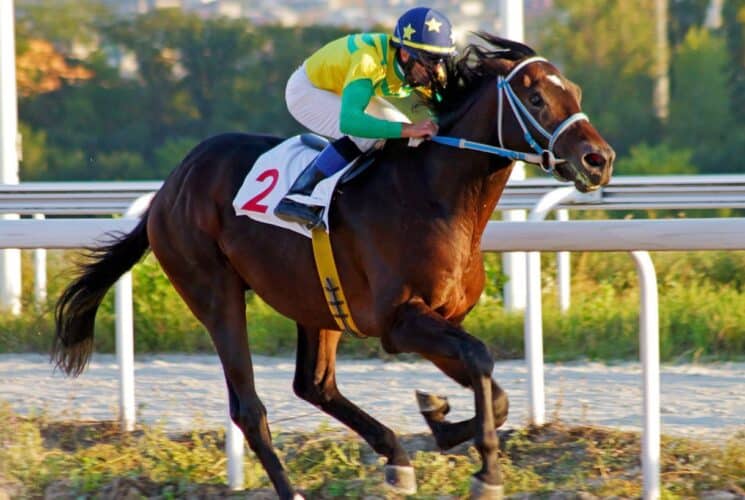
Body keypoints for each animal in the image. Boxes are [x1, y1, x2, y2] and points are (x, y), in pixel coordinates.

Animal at [50, 33, 612, 498]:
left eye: (577, 91)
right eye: (536, 98)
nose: (598, 160)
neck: (434, 195)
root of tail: (168, 189)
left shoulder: (442, 318)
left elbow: (494, 393)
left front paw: (439, 418)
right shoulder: (399, 322)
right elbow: (480, 360)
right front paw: (485, 470)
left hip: (317, 303)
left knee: (314, 385)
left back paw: (396, 456)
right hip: (213, 290)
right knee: (249, 408)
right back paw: (294, 488)